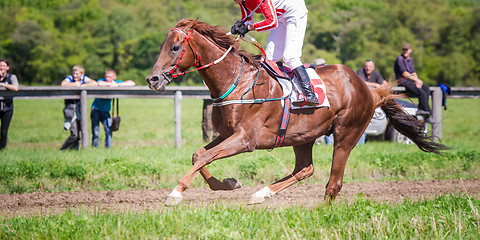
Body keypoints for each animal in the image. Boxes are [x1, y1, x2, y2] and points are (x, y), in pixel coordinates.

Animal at [145, 18, 446, 206]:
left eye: (175, 47)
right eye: (161, 46)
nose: (153, 79)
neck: (237, 81)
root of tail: (368, 89)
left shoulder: (246, 139)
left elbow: (205, 156)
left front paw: (175, 194)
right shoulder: (227, 134)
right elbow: (199, 155)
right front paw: (228, 184)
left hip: (346, 134)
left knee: (333, 182)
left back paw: (322, 213)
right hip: (303, 136)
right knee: (305, 169)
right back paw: (262, 193)